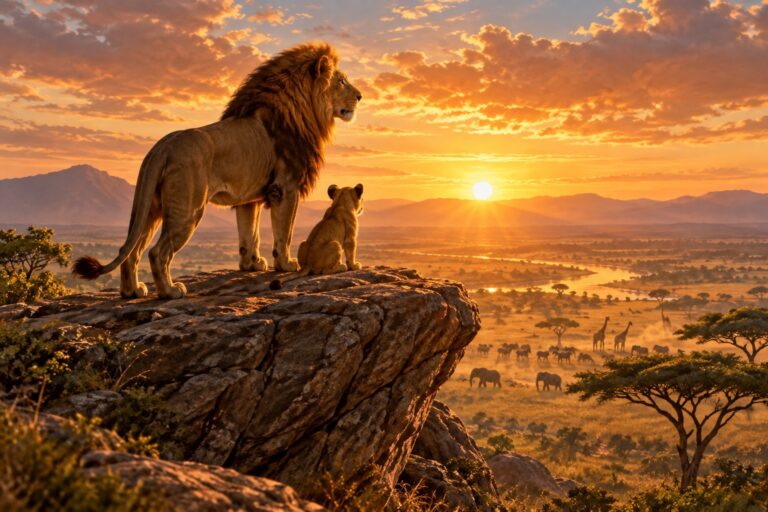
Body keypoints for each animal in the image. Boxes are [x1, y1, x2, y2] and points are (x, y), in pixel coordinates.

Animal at [72, 43, 362, 299]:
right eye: (341, 81)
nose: (360, 96)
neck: (303, 110)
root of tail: (162, 147)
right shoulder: (285, 187)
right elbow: (284, 233)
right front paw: (286, 264)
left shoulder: (250, 197)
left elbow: (250, 234)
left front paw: (252, 264)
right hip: (188, 209)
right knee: (157, 252)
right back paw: (170, 292)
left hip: (151, 208)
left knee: (130, 249)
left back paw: (132, 291)